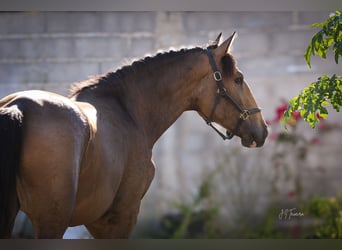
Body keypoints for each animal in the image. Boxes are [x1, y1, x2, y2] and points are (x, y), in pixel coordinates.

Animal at [0, 33, 268, 238]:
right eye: (239, 79)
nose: (263, 129)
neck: (128, 111)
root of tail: (19, 106)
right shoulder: (121, 215)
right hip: (52, 220)